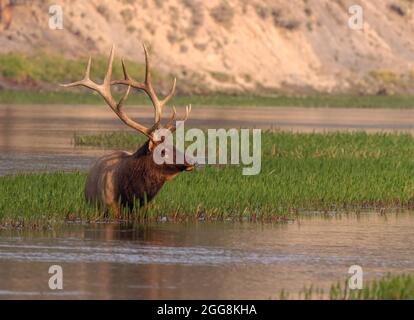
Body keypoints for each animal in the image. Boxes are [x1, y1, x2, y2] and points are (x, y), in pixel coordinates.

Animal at [61, 45, 194, 219]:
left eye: (173, 144)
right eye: (162, 151)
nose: (190, 161)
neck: (129, 194)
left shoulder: (143, 210)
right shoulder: (109, 208)